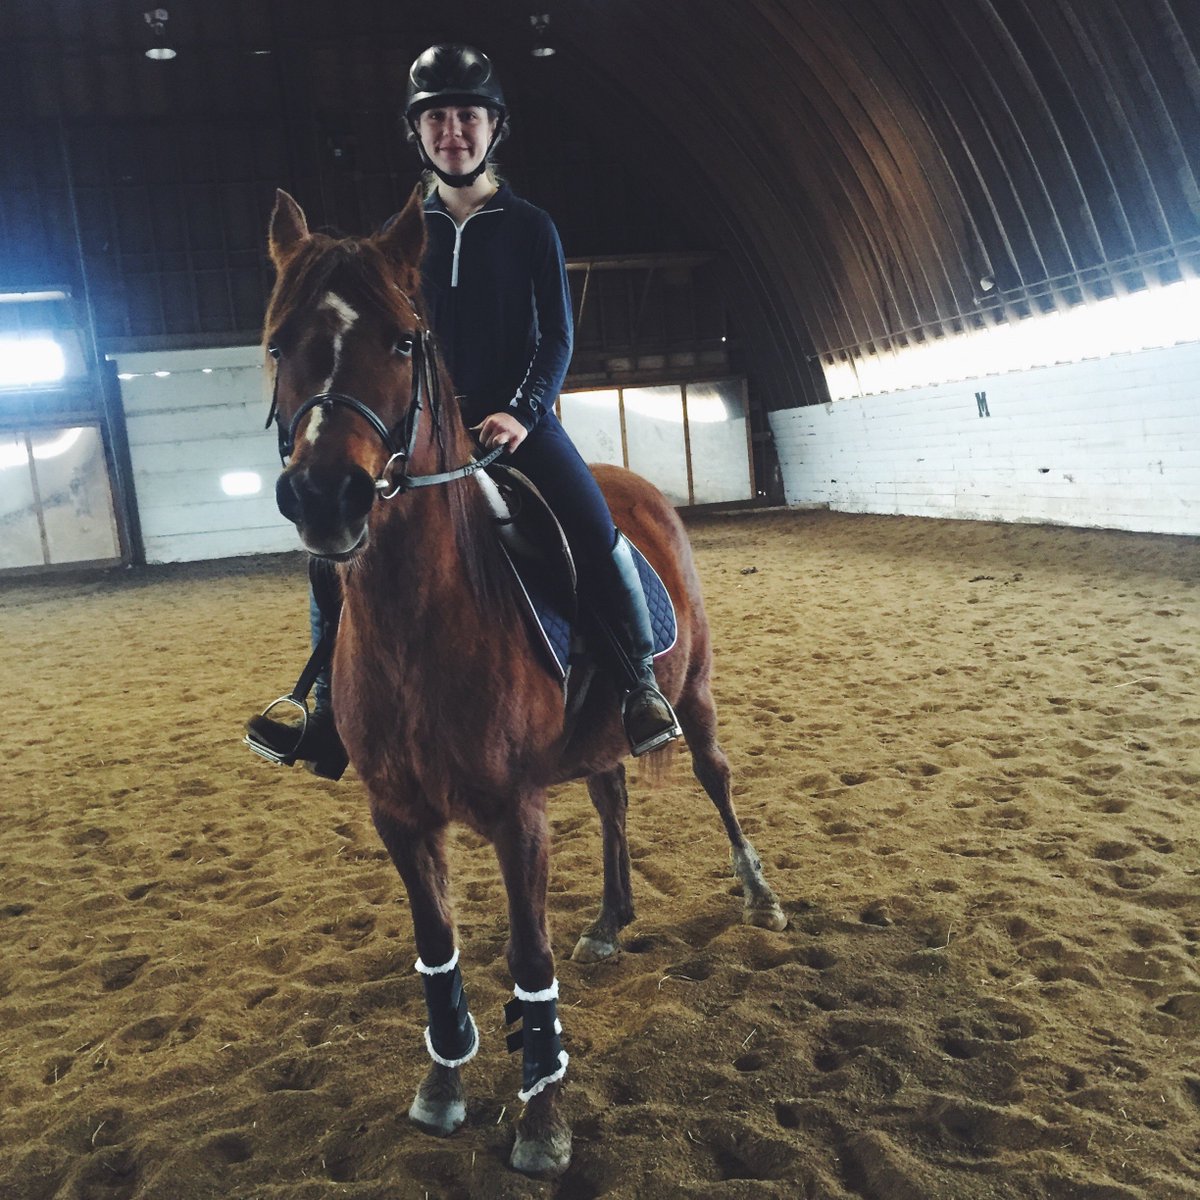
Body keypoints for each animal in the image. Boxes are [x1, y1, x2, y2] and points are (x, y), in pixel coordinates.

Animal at [258, 185, 786, 1178]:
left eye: (402, 341)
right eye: (276, 344)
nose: (323, 497)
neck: (417, 626)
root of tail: (630, 484)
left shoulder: (516, 810)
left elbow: (529, 958)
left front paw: (543, 1124)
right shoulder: (399, 815)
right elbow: (437, 948)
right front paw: (443, 1082)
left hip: (693, 693)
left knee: (715, 775)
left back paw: (760, 896)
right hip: (597, 735)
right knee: (614, 796)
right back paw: (612, 919)